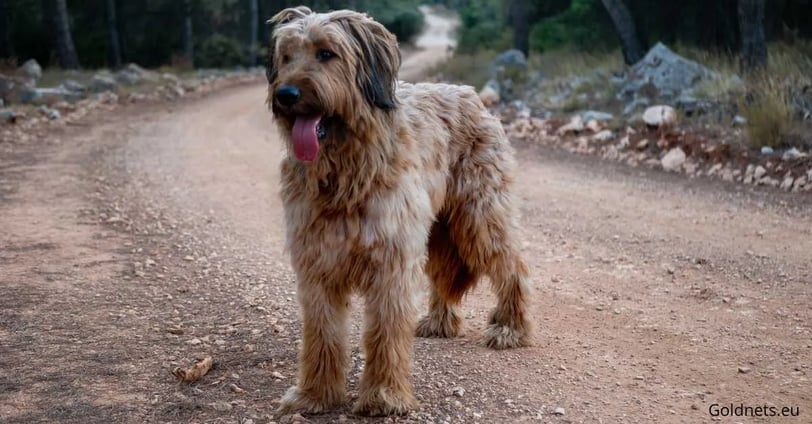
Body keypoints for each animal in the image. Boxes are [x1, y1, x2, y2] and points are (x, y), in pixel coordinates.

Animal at [267, 6, 532, 416]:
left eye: (326, 53)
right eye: (286, 56)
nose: (285, 94)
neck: (346, 171)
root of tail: (468, 93)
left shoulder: (390, 259)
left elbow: (385, 333)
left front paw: (383, 396)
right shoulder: (317, 262)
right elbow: (322, 334)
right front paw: (315, 395)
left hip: (479, 215)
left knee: (511, 265)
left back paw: (510, 327)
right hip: (437, 233)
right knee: (444, 275)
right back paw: (440, 321)